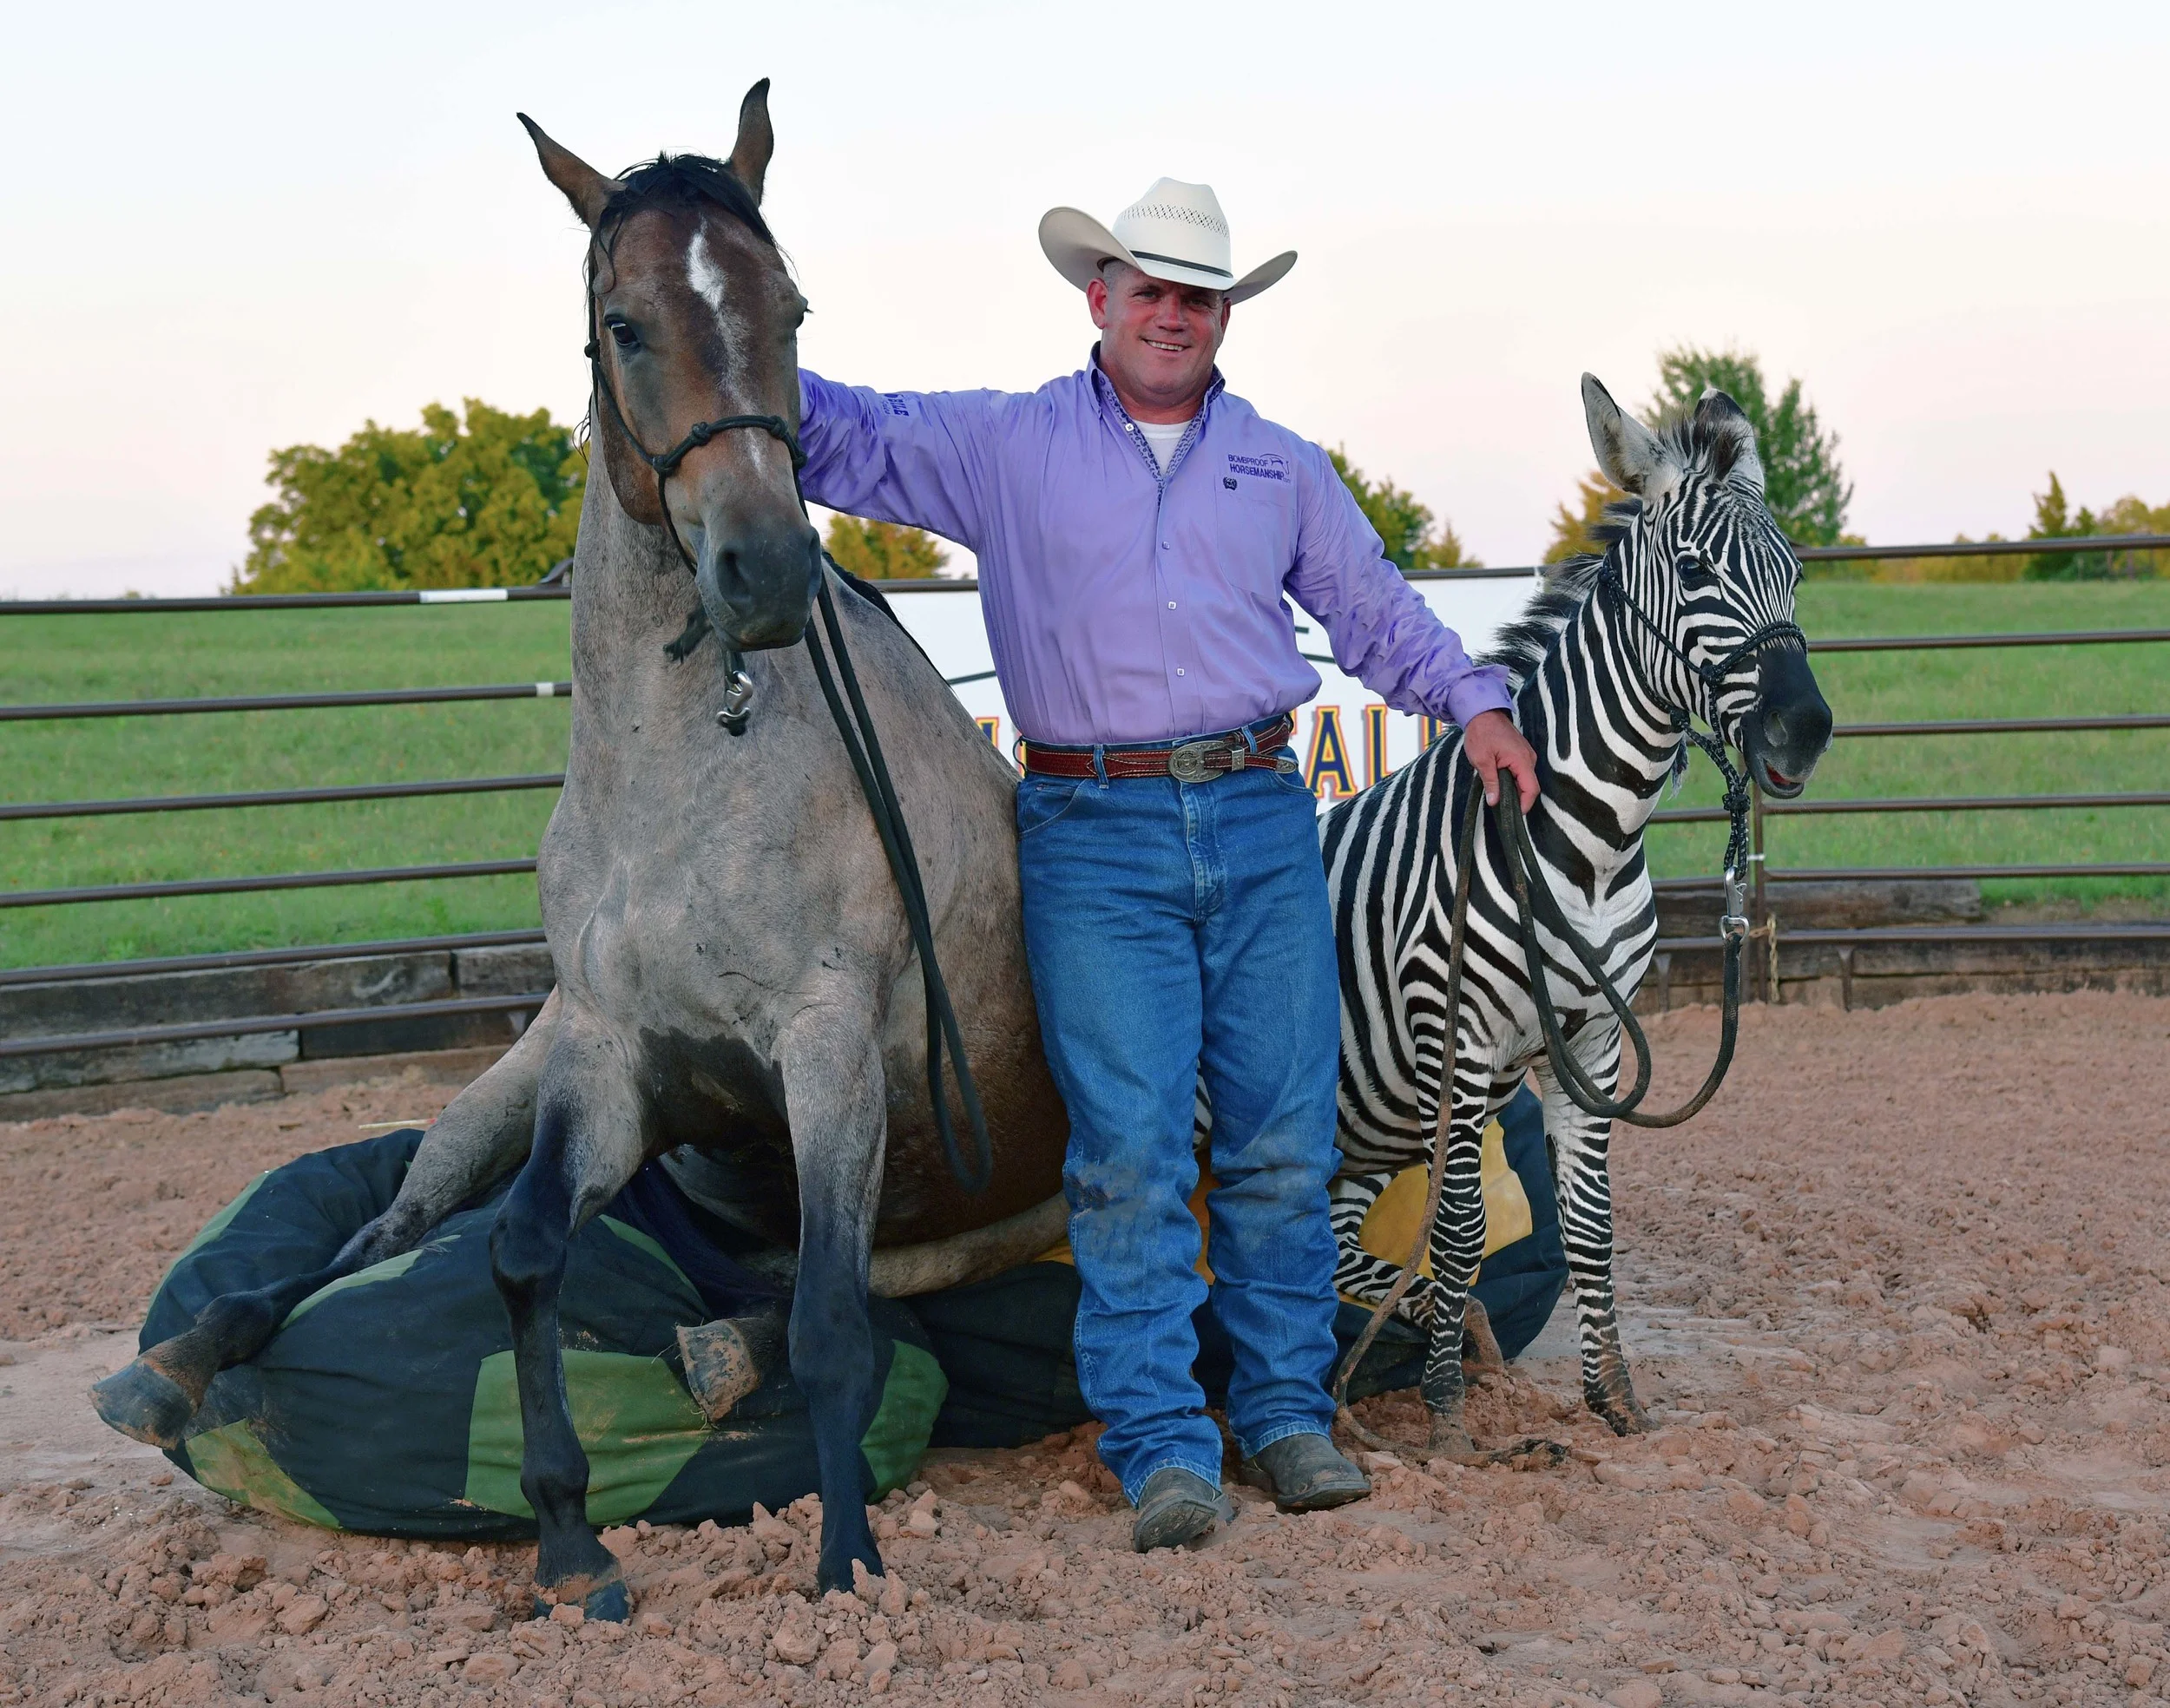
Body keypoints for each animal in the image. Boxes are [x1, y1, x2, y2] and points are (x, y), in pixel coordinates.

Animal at [1320, 374, 1833, 1459]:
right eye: (1692, 570)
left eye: (1796, 573)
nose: (1803, 732)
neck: (1589, 846)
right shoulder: (1458, 1047)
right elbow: (1463, 1231)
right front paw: (1447, 1417)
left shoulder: (1592, 1047)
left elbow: (1591, 1232)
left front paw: (1614, 1400)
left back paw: (1437, 1332)